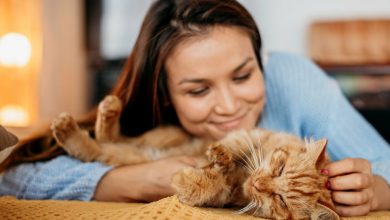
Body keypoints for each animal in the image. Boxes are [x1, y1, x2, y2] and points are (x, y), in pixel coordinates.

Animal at [51, 95, 338, 219]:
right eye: (279, 168)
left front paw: (189, 179)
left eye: (281, 201)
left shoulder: (226, 194)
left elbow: (210, 185)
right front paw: (219, 154)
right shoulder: (249, 134)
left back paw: (70, 130)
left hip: (129, 155)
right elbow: (232, 146)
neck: (244, 175)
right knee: (108, 136)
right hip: (162, 136)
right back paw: (106, 110)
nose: (258, 183)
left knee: (96, 147)